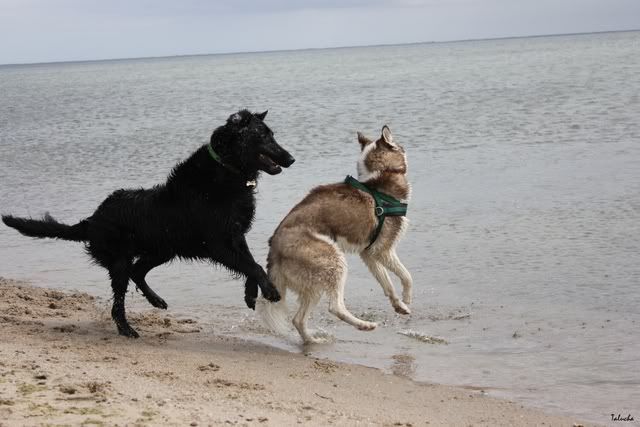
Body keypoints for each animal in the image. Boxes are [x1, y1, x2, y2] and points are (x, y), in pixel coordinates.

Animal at [2, 109, 295, 338]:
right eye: (263, 136)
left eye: (272, 134)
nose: (291, 158)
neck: (226, 172)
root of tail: (91, 220)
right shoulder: (216, 243)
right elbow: (252, 265)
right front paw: (270, 291)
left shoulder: (236, 235)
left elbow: (250, 263)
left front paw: (250, 295)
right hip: (121, 259)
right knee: (120, 296)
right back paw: (127, 330)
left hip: (161, 250)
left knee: (137, 272)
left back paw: (156, 300)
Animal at [258, 125, 412, 343]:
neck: (379, 178)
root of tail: (274, 250)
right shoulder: (383, 250)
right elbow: (406, 276)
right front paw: (407, 298)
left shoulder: (369, 253)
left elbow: (387, 283)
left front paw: (399, 305)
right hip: (334, 260)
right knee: (335, 307)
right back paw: (364, 325)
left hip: (313, 284)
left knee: (298, 319)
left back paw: (313, 341)